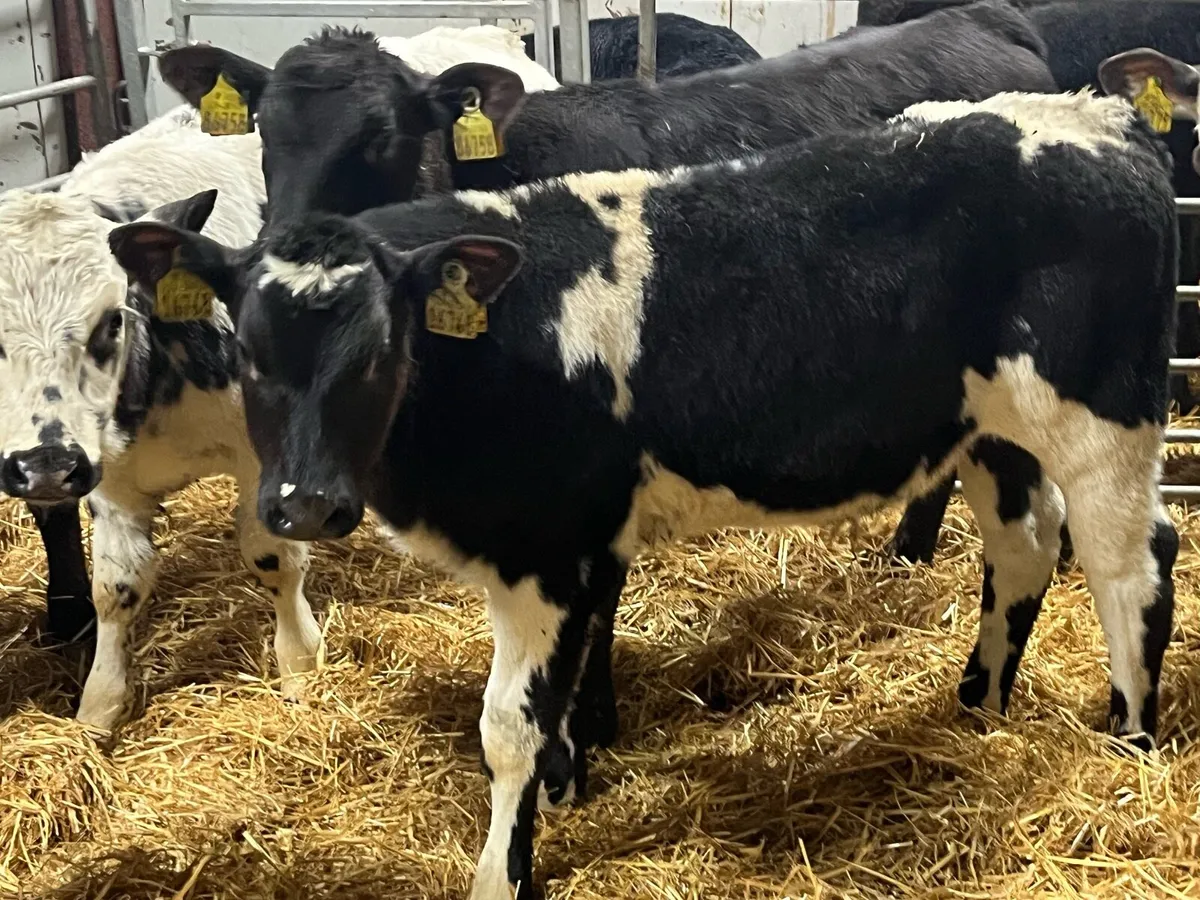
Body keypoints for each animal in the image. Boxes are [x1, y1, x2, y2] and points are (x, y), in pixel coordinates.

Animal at [0, 114, 322, 733]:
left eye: (111, 320)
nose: (46, 466)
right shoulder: (107, 476)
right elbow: (116, 585)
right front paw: (99, 706)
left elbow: (273, 557)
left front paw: (301, 664)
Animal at [108, 89, 1179, 900]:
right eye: (247, 351)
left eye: (380, 352)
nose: (305, 506)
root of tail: (1098, 116)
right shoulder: (585, 538)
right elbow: (574, 682)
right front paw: (571, 783)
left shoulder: (541, 548)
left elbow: (509, 727)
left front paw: (504, 871)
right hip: (999, 432)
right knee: (1026, 546)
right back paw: (978, 707)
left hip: (1107, 421)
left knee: (1131, 566)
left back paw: (1127, 742)